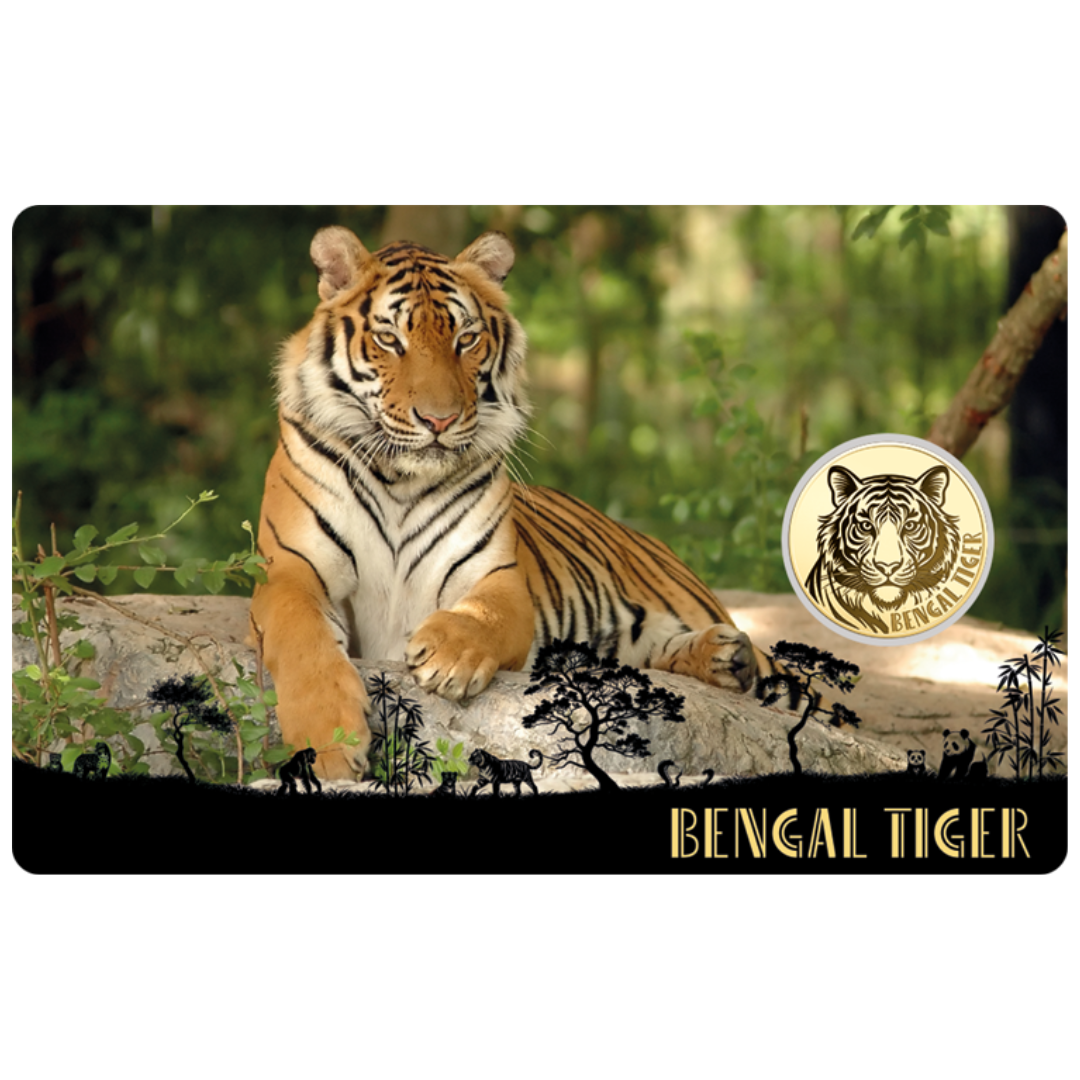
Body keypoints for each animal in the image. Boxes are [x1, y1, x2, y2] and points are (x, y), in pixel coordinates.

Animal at [250, 225, 811, 780]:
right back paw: (724, 660)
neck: (401, 482)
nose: (439, 420)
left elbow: (484, 616)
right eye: (390, 339)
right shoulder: (289, 570)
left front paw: (448, 655)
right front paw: (329, 744)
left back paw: (731, 657)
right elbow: (304, 642)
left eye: (466, 339)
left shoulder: (496, 576)